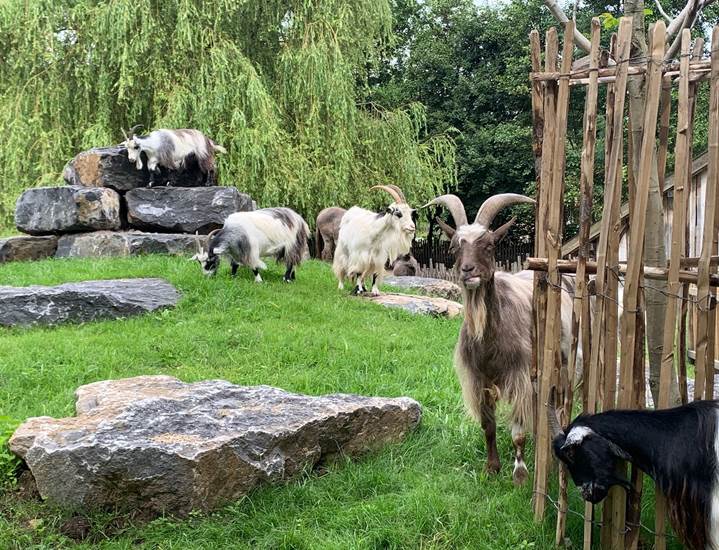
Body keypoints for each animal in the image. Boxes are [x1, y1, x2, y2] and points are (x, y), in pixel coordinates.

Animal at [424, 194, 576, 488]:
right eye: (454, 246)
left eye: (490, 244)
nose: (467, 270)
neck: (489, 342)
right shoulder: (480, 379)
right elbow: (488, 425)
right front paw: (492, 468)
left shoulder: (519, 376)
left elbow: (518, 430)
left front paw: (520, 475)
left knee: (563, 405)